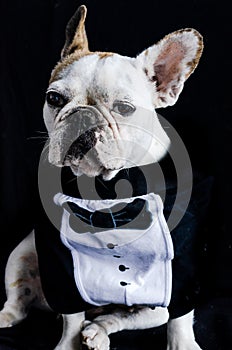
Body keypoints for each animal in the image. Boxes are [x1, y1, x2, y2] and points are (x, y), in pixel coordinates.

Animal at [0, 5, 203, 350]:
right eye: (54, 99)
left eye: (124, 108)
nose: (83, 116)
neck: (108, 186)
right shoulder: (58, 259)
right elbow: (70, 315)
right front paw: (68, 344)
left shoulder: (183, 262)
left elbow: (180, 314)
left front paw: (184, 344)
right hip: (22, 252)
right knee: (22, 297)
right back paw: (9, 315)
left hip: (153, 305)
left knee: (126, 316)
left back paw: (98, 332)